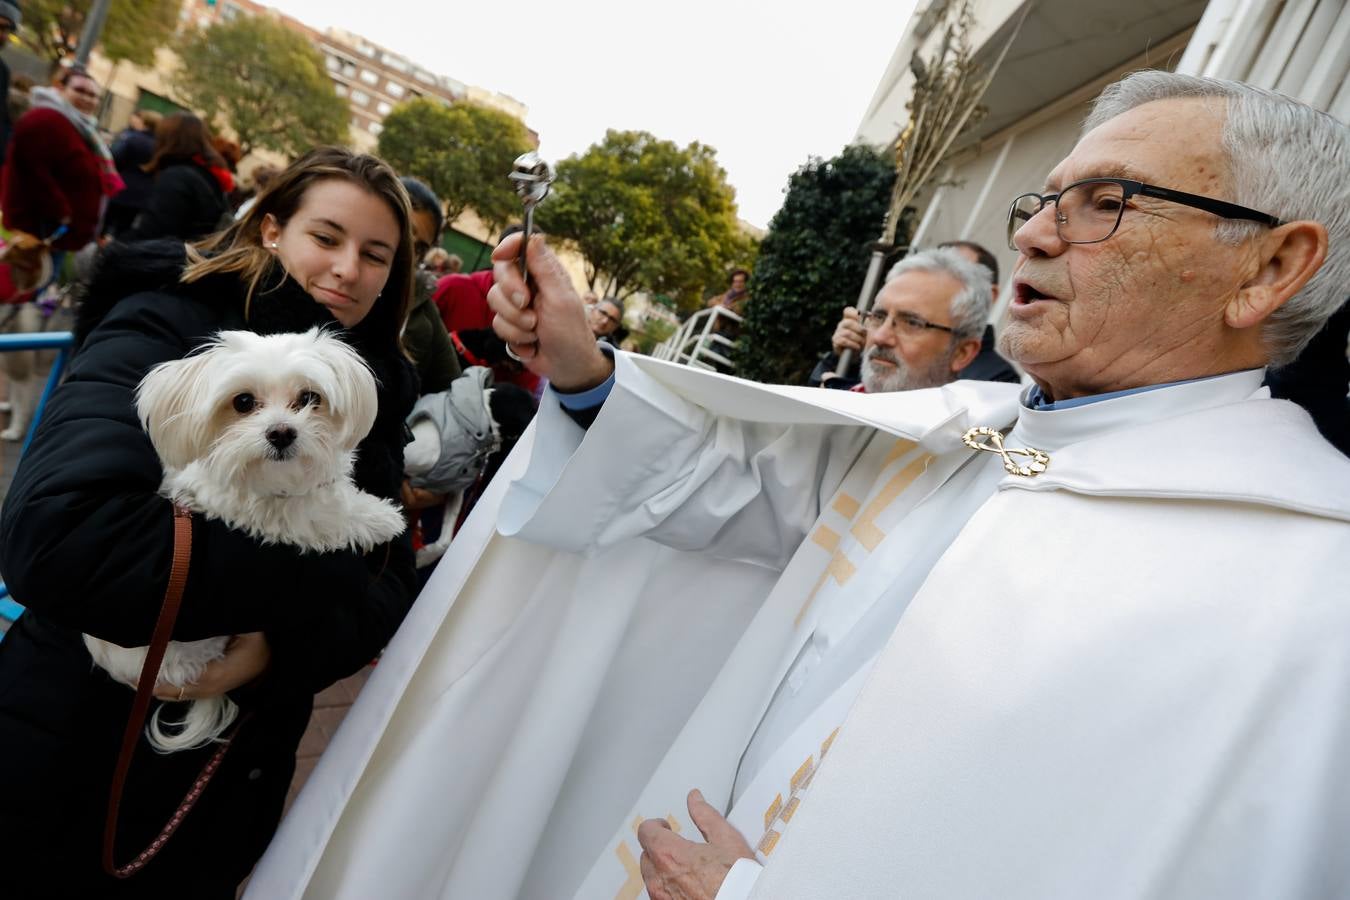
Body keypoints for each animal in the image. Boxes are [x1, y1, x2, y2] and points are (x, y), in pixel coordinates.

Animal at [84, 329, 405, 755]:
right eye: (243, 402)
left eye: (309, 397)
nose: (282, 432)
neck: (272, 481)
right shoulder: (260, 516)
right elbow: (325, 515)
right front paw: (382, 518)